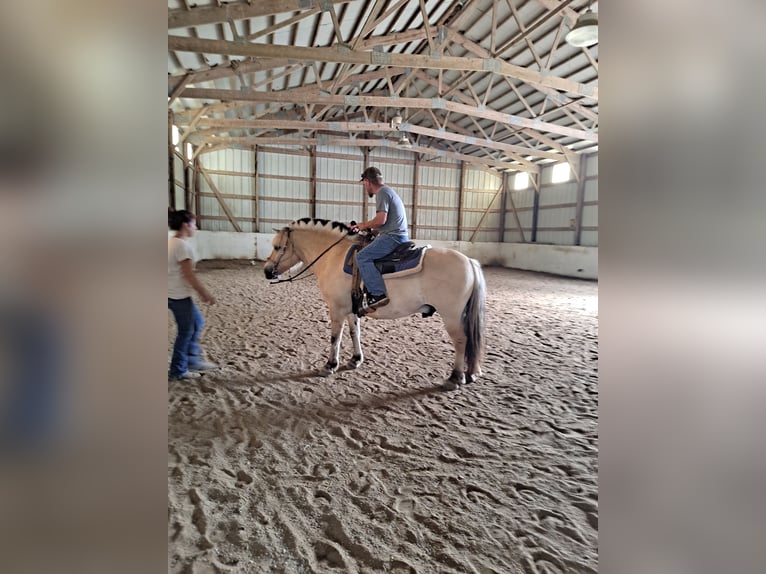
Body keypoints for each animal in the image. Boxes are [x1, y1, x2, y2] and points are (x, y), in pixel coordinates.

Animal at [264, 218, 486, 390]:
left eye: (277, 247)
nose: (267, 271)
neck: (333, 256)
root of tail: (469, 261)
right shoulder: (351, 310)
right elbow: (355, 332)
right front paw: (355, 359)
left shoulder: (336, 309)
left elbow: (335, 338)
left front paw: (330, 365)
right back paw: (469, 374)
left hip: (451, 316)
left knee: (461, 341)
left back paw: (455, 378)